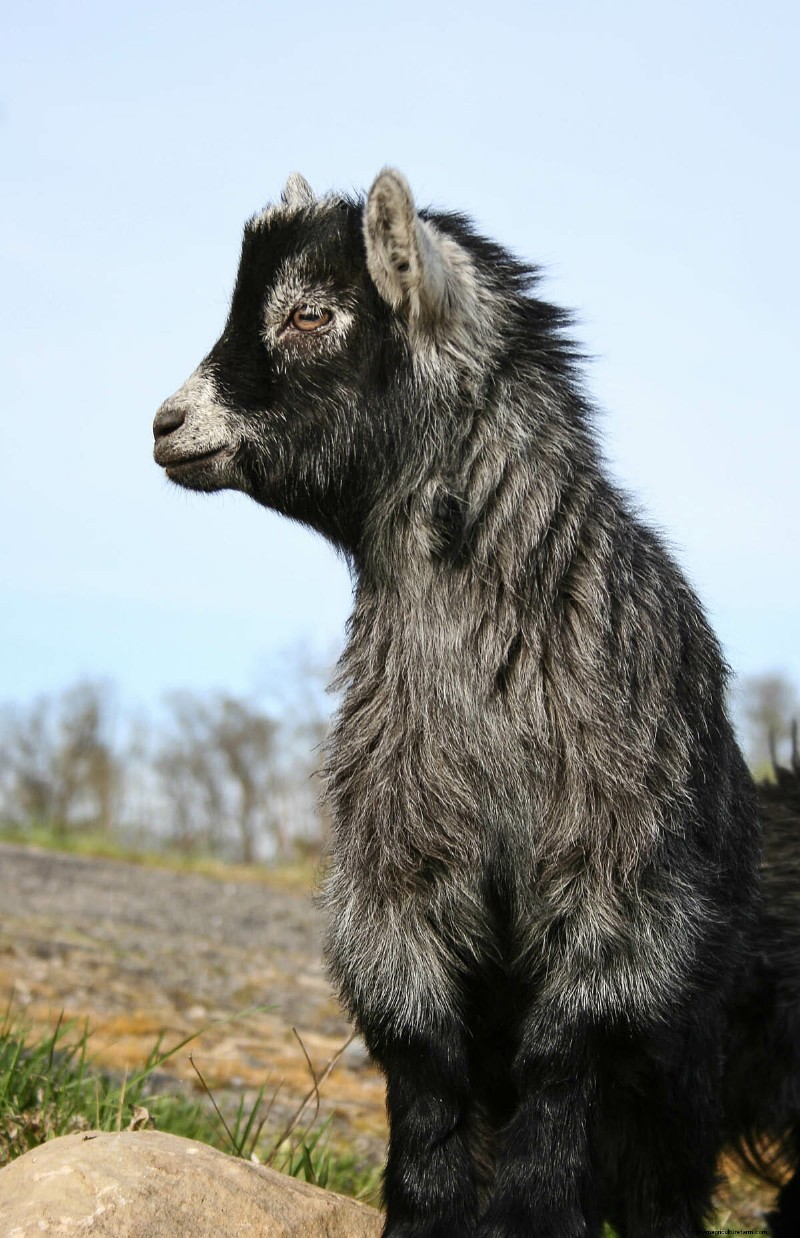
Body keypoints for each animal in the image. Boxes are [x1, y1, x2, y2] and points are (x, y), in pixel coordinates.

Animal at [153, 169, 797, 1236]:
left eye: (310, 313)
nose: (165, 424)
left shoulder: (619, 881)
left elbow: (562, 1057)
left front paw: (531, 1214)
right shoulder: (395, 866)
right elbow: (422, 1062)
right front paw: (427, 1212)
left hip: (686, 1073)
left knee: (663, 1183)